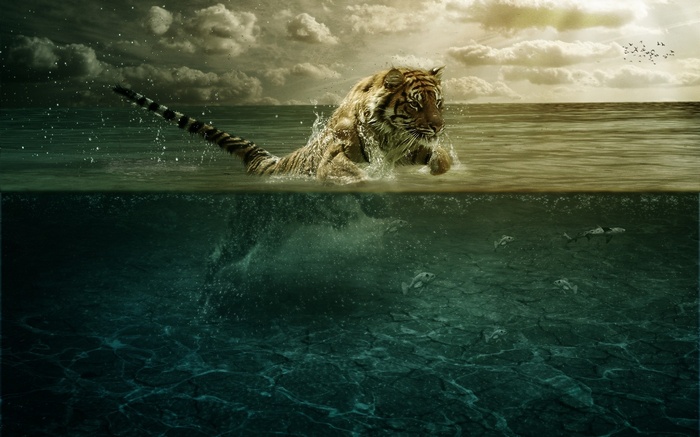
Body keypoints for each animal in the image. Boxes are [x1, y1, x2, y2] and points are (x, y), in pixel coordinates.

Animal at [113, 66, 453, 184]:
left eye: (438, 102)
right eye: (415, 104)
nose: (438, 127)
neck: (391, 136)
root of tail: (267, 162)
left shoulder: (410, 148)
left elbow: (441, 159)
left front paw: (439, 169)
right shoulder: (335, 156)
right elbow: (352, 174)